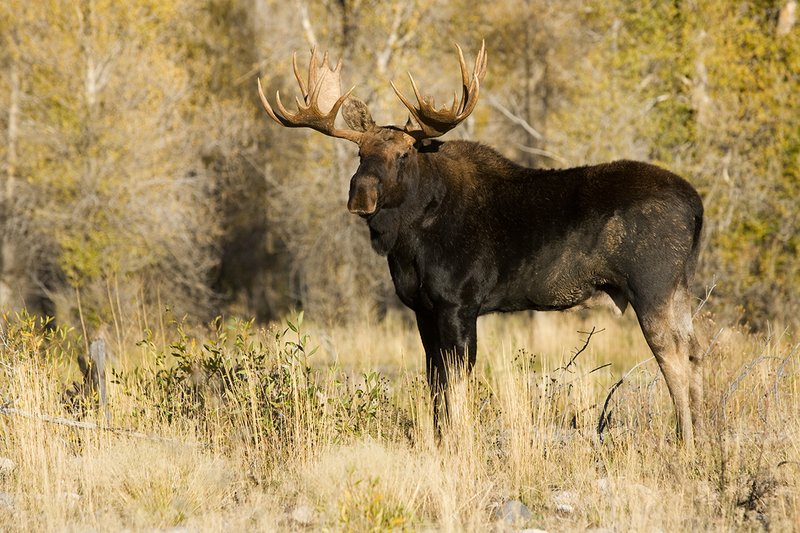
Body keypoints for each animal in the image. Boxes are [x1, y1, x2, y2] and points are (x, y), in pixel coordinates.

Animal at [257, 42, 705, 445]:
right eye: (359, 152)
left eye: (404, 154)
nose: (360, 194)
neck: (407, 245)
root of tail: (697, 206)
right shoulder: (422, 308)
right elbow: (434, 380)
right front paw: (440, 440)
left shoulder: (459, 303)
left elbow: (457, 381)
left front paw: (460, 442)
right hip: (680, 289)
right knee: (695, 351)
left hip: (652, 287)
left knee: (673, 357)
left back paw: (685, 440)